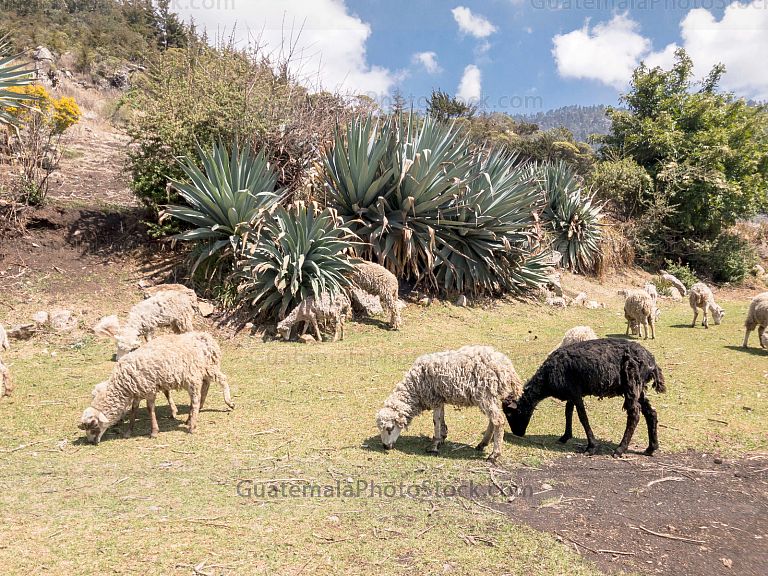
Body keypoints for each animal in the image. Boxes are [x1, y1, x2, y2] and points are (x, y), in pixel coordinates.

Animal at [79, 332, 234, 444]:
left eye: (93, 426)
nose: (91, 442)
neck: (123, 385)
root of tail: (206, 336)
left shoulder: (149, 389)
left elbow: (150, 409)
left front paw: (154, 432)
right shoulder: (137, 391)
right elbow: (134, 410)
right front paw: (129, 431)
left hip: (197, 373)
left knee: (213, 386)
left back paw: (197, 422)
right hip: (202, 371)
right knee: (205, 386)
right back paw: (193, 416)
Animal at [375, 345, 523, 462]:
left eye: (390, 428)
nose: (385, 446)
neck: (415, 387)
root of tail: (507, 368)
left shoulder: (434, 397)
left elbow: (435, 420)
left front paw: (434, 445)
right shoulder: (440, 398)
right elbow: (441, 418)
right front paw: (442, 437)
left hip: (485, 394)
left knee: (498, 420)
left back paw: (494, 454)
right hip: (491, 395)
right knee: (493, 420)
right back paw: (483, 444)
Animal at [503, 339, 666, 457]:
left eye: (510, 413)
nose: (518, 433)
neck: (546, 380)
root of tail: (652, 362)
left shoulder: (575, 392)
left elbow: (582, 416)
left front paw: (591, 447)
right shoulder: (571, 393)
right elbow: (568, 412)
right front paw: (565, 436)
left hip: (631, 384)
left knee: (634, 413)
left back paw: (620, 449)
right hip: (640, 388)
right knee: (651, 412)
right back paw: (651, 448)